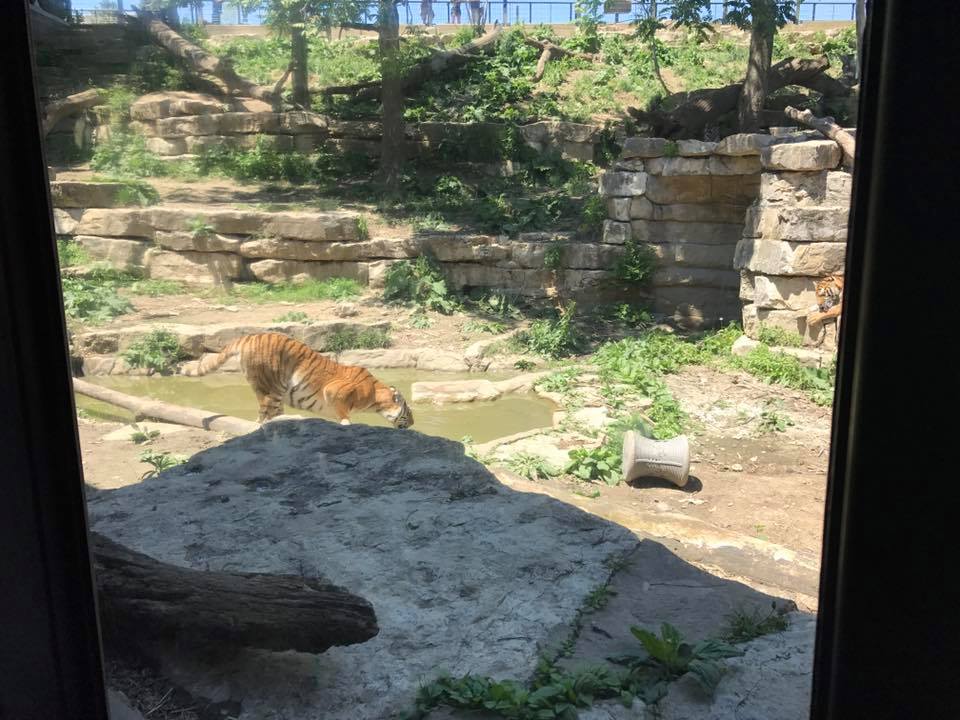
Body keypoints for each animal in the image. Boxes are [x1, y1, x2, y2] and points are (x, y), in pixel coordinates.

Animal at [183, 332, 414, 429]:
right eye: (408, 412)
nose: (413, 423)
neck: (375, 397)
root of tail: (250, 336)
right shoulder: (334, 391)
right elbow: (343, 415)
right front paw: (347, 424)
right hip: (272, 387)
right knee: (263, 417)